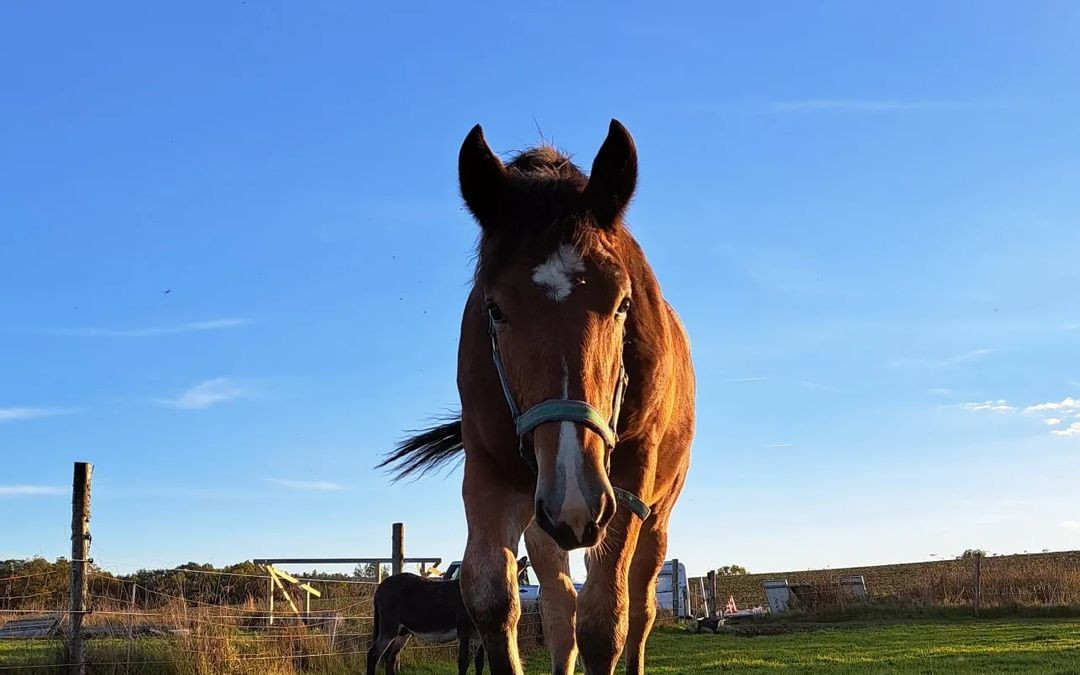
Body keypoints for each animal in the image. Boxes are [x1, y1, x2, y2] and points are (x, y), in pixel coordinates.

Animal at [384, 120, 695, 673]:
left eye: (622, 304)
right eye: (494, 308)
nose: (573, 495)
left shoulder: (623, 487)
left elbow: (605, 621)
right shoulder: (490, 475)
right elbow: (494, 601)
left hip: (650, 516)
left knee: (639, 609)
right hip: (546, 522)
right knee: (558, 609)